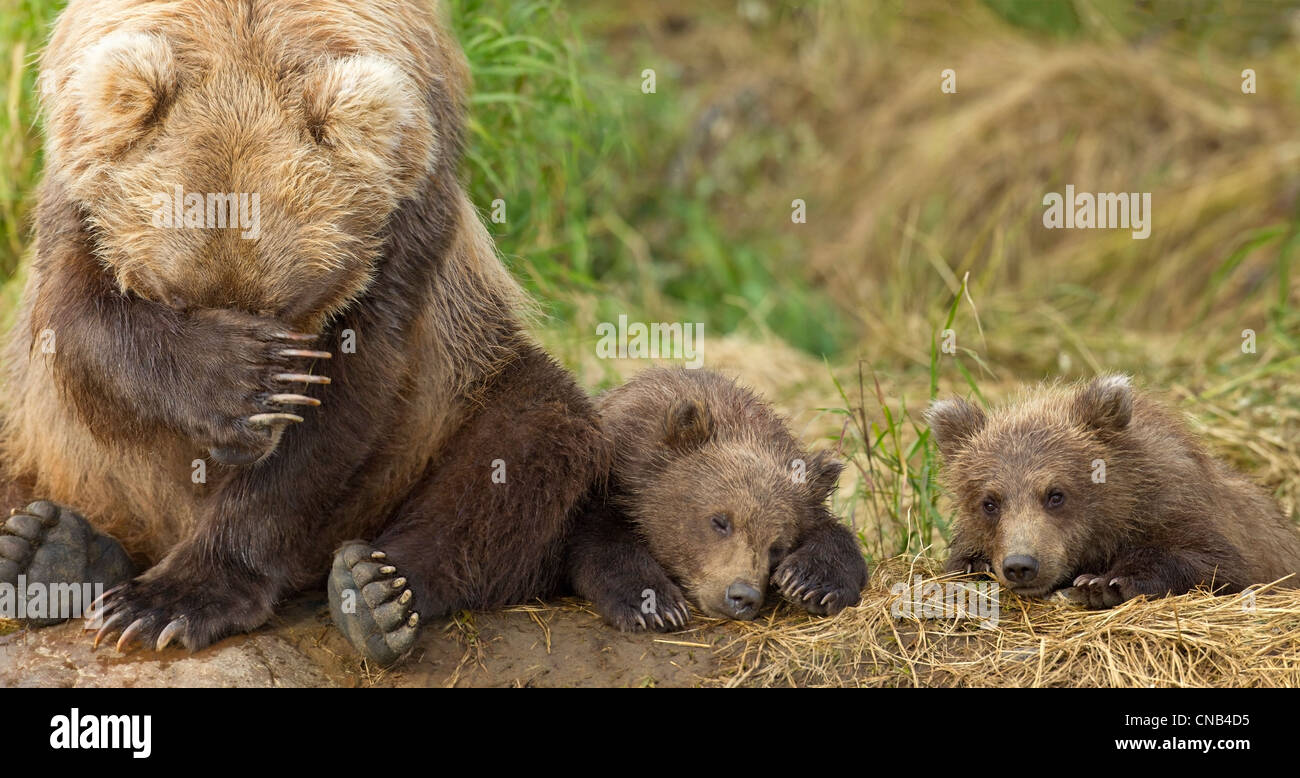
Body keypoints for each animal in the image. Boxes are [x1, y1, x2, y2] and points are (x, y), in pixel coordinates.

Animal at [0, 0, 609, 667]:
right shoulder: (77, 182)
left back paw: (375, 592)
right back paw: (45, 548)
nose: (238, 448)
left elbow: (349, 398)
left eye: (290, 303)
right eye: (176, 298)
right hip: (42, 445)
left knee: (532, 435)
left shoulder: (407, 209)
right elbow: (80, 325)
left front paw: (171, 601)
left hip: (460, 390)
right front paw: (243, 380)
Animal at [566, 367, 868, 630]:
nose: (743, 595)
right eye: (720, 521)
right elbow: (600, 540)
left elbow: (836, 536)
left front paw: (811, 583)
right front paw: (656, 607)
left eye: (778, 547)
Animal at [926, 374, 1300, 609]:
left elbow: (1214, 562)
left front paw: (1102, 584)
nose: (1020, 565)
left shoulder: (1185, 509)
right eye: (989, 502)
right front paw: (974, 563)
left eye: (1055, 494)